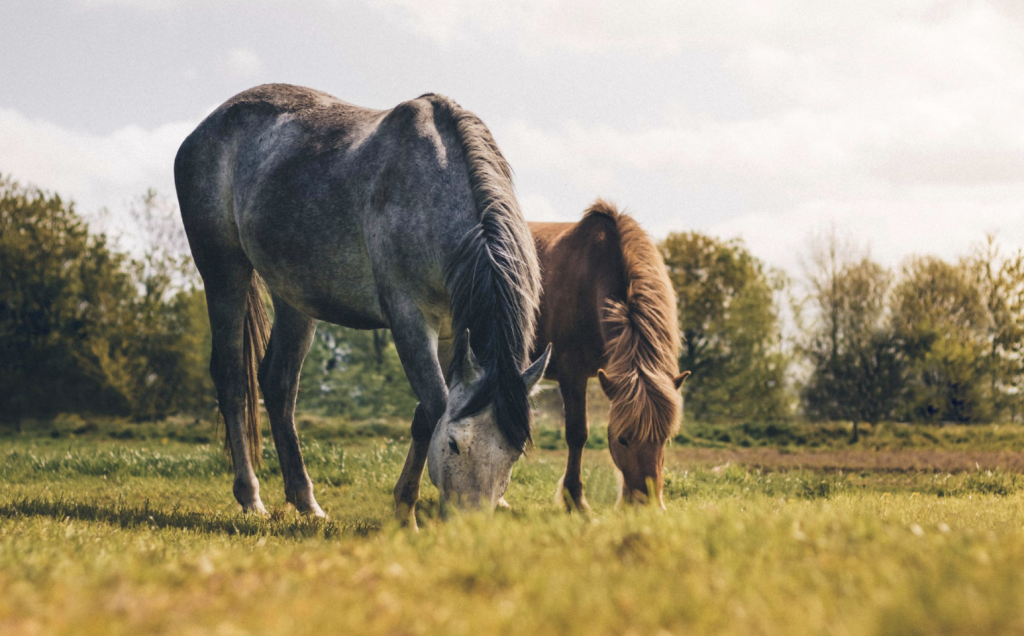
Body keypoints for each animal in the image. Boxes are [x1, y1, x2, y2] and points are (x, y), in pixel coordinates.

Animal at [174, 82, 552, 524]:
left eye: (513, 454)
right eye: (455, 444)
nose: (469, 525)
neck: (433, 188)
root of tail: (204, 129)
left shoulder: (451, 332)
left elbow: (425, 414)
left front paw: (403, 505)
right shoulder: (409, 319)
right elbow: (434, 407)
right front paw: (406, 513)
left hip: (293, 297)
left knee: (278, 384)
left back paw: (306, 502)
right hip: (223, 273)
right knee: (234, 380)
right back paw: (251, 497)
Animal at [528, 200, 688, 507]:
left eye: (664, 438)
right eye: (623, 439)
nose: (647, 505)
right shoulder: (572, 373)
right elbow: (577, 434)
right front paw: (575, 500)